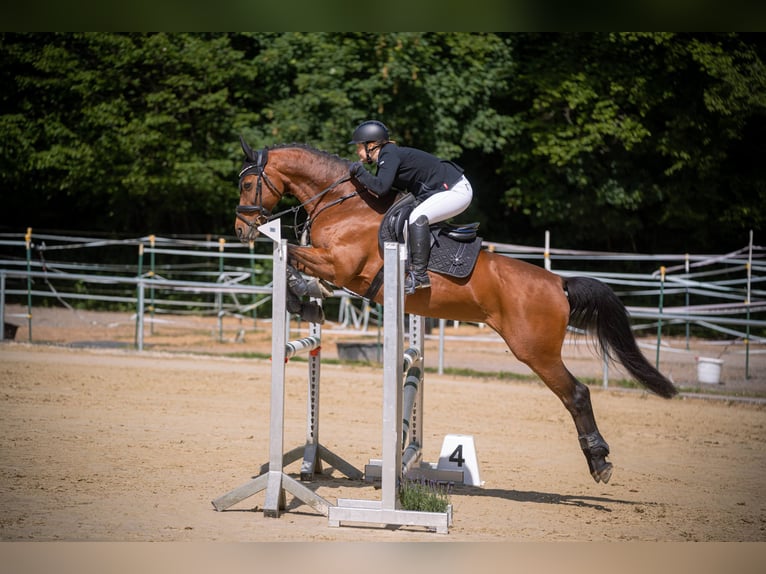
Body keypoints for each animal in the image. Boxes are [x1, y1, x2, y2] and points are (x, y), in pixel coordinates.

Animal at [234, 140, 680, 486]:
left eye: (247, 183)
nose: (241, 230)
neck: (343, 205)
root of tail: (558, 283)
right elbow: (295, 256)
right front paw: (300, 294)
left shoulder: (340, 265)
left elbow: (291, 251)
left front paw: (295, 289)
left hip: (535, 351)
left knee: (577, 394)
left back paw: (599, 461)